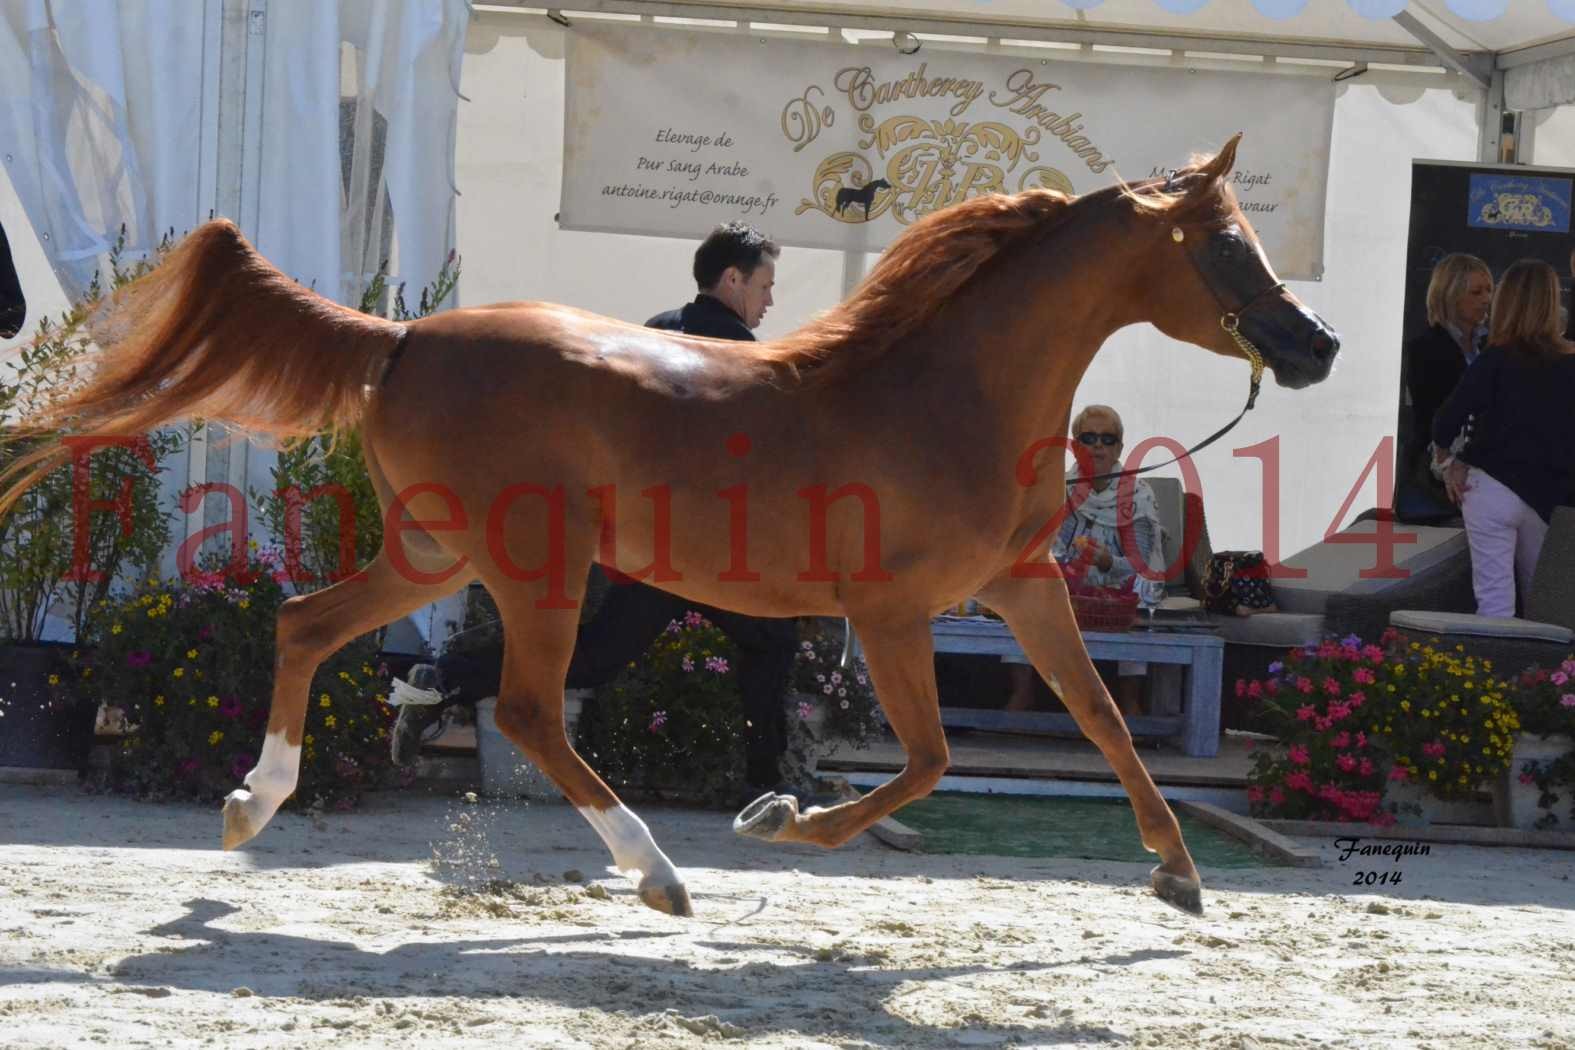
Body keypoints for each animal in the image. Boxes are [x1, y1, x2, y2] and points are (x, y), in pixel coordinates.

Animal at [3, 137, 1341, 919]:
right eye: (1225, 246)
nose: (1317, 347)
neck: (943, 388)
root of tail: (402, 339)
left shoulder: (1019, 587)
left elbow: (1103, 716)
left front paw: (1176, 872)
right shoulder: (891, 612)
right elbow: (928, 760)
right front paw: (781, 819)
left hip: (436, 552)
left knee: (305, 624)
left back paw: (255, 802)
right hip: (535, 566)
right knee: (528, 710)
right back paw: (656, 871)